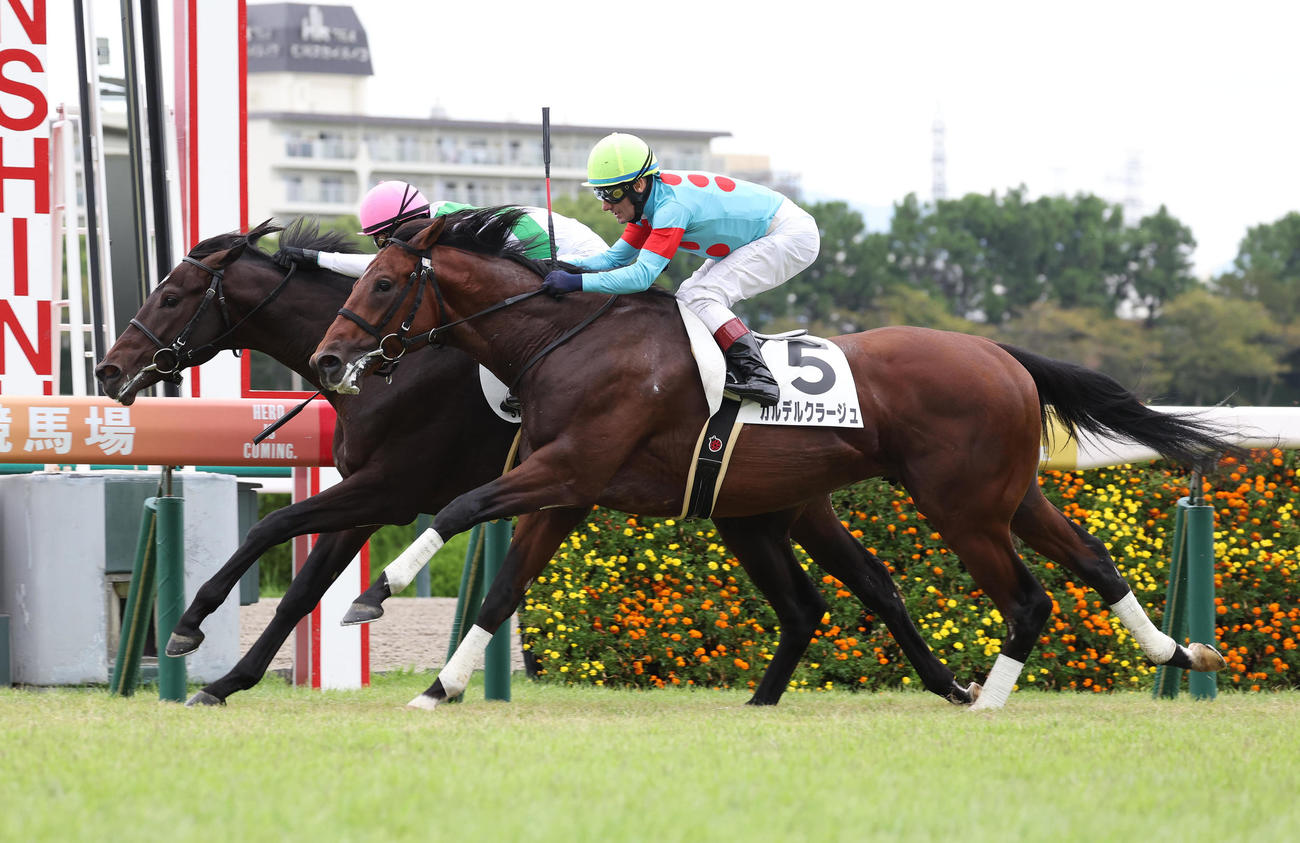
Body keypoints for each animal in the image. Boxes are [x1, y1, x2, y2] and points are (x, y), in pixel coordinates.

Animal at [95, 218, 975, 707]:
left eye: (172, 294)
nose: (108, 370)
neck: (404, 363)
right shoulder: (371, 496)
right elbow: (303, 587)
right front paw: (225, 679)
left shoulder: (392, 487)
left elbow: (271, 531)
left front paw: (189, 628)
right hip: (753, 512)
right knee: (824, 598)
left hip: (782, 507)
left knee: (865, 586)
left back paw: (951, 683)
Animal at [310, 207, 1233, 711]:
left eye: (383, 283)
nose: (326, 361)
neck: (562, 339)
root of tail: (1002, 354)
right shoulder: (567, 490)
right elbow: (503, 589)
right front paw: (439, 686)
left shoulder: (569, 469)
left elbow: (459, 508)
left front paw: (375, 592)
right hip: (1001, 495)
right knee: (1094, 561)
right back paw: (1178, 653)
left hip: (961, 507)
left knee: (1029, 597)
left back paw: (988, 698)